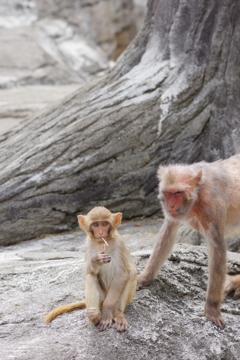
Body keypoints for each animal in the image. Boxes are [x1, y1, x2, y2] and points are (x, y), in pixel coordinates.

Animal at [137, 155, 240, 330]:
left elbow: (217, 249)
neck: (197, 193)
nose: (171, 205)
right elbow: (167, 232)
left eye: (178, 192)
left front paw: (212, 309)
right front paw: (144, 278)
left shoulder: (210, 206)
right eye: (168, 193)